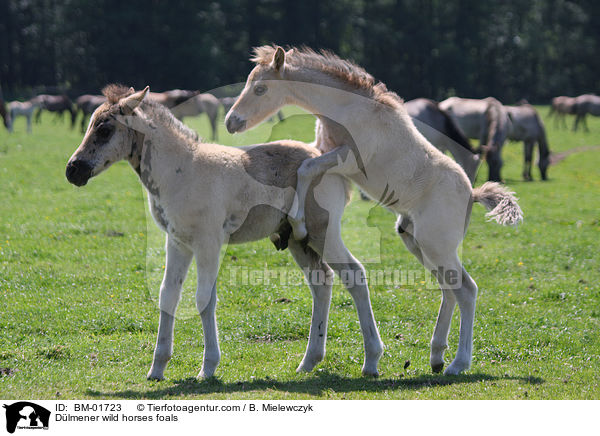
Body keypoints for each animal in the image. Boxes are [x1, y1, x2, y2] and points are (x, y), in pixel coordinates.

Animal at [65, 84, 382, 378]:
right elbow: (168, 296)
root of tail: (322, 157)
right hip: (297, 240)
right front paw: (157, 368)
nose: (73, 170)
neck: (181, 171)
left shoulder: (208, 243)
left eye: (105, 130)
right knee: (321, 282)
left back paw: (371, 360)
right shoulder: (177, 242)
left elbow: (204, 299)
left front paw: (207, 368)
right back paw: (309, 361)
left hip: (322, 231)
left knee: (354, 275)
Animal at [227, 46, 524, 376]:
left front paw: (299, 222)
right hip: (417, 243)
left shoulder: (347, 159)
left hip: (437, 245)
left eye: (260, 88)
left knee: (467, 290)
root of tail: (472, 194)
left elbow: (306, 167)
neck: (347, 109)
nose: (231, 122)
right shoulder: (322, 147)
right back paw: (436, 355)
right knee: (449, 289)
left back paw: (458, 363)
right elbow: (305, 161)